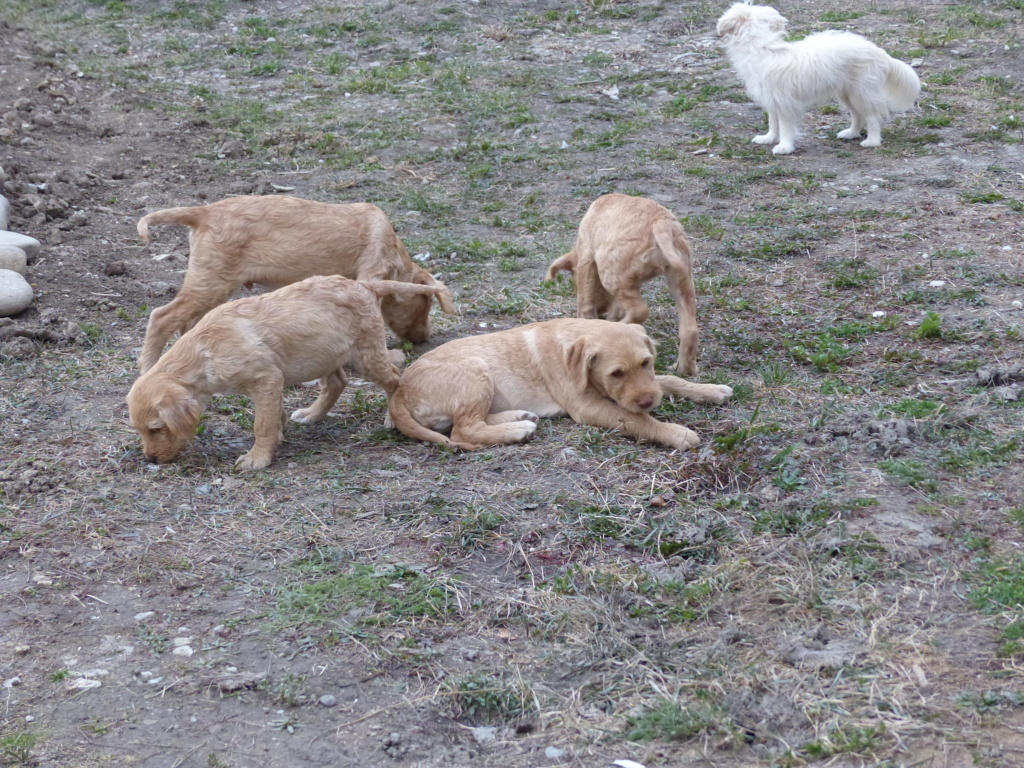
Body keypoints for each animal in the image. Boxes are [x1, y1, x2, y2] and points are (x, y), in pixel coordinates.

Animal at [126, 274, 444, 473]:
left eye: (156, 429)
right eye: (141, 431)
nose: (150, 459)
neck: (204, 350)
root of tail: (364, 285)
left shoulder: (266, 378)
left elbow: (262, 424)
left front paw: (257, 458)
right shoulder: (271, 382)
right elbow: (273, 415)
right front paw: (278, 436)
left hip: (365, 355)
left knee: (394, 377)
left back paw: (392, 416)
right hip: (324, 353)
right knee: (337, 382)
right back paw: (312, 414)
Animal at [136, 193, 456, 370]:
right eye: (426, 304)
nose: (425, 338)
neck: (395, 250)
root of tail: (203, 212)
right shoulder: (371, 273)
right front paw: (391, 358)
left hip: (210, 284)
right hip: (212, 281)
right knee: (162, 317)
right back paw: (148, 367)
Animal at [387, 317, 733, 450]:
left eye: (646, 363)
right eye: (616, 374)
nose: (649, 401)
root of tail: (398, 392)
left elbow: (669, 380)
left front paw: (709, 390)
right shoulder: (588, 406)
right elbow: (637, 419)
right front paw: (676, 433)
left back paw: (518, 417)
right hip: (475, 370)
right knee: (463, 430)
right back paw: (517, 429)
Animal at [540, 193, 700, 376]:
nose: (601, 310)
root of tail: (660, 224)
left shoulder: (587, 258)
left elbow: (584, 301)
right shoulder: (627, 284)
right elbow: (615, 305)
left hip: (610, 273)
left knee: (640, 310)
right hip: (680, 277)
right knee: (689, 329)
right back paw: (683, 369)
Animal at [716, 1, 925, 154]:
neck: (762, 48)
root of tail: (879, 52)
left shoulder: (784, 103)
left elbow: (784, 126)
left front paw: (784, 146)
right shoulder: (772, 100)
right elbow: (773, 123)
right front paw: (768, 138)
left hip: (861, 92)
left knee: (871, 117)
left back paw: (872, 141)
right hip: (847, 93)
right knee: (857, 114)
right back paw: (851, 133)